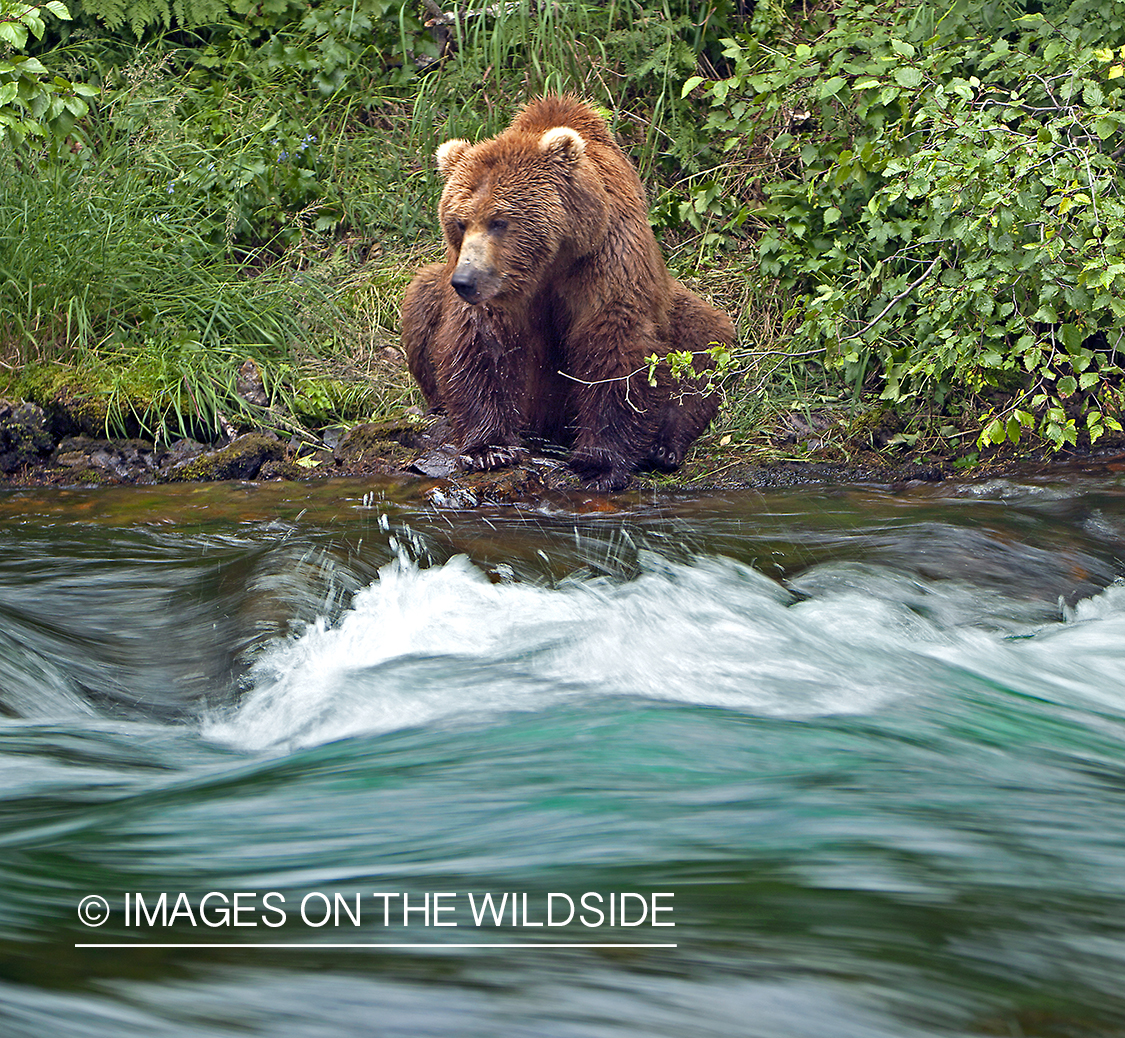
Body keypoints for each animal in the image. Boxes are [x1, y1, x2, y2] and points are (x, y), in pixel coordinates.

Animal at [400, 93, 733, 490]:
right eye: (460, 222)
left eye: (499, 220)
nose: (466, 280)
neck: (549, 261)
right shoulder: (498, 288)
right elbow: (482, 343)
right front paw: (490, 448)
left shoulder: (605, 259)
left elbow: (612, 346)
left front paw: (599, 464)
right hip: (435, 289)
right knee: (421, 302)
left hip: (677, 307)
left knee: (703, 339)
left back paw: (664, 446)